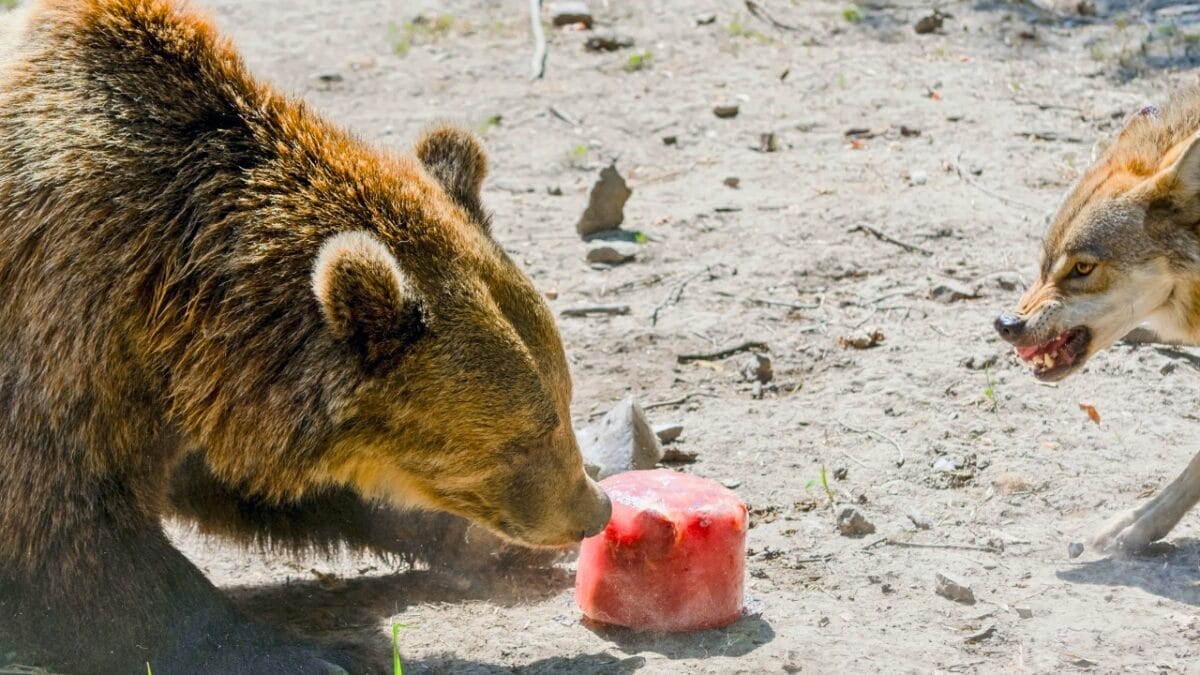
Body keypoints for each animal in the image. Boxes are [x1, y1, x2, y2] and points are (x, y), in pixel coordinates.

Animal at [0, 0, 611, 673]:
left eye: (565, 402)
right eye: (520, 440)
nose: (593, 510)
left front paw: (477, 542)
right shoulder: (63, 333)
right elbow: (73, 537)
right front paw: (297, 652)